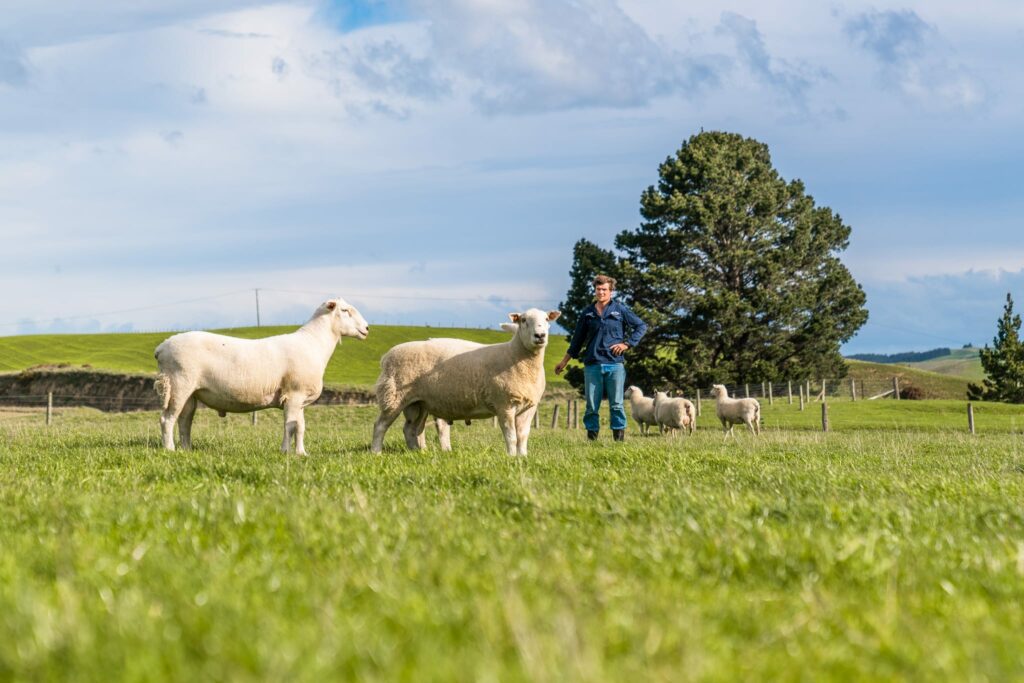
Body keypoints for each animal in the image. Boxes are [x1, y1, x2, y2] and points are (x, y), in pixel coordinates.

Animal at [153, 296, 370, 454]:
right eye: (345, 311)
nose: (367, 328)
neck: (313, 343)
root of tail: (162, 347)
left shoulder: (300, 399)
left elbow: (300, 427)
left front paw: (301, 453)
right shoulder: (294, 394)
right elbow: (289, 426)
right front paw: (285, 452)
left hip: (191, 391)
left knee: (184, 420)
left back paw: (186, 450)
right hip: (179, 384)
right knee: (167, 419)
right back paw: (170, 450)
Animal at [370, 311, 561, 458]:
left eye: (546, 319)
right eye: (523, 320)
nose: (540, 336)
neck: (516, 357)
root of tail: (386, 357)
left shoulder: (529, 407)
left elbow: (523, 436)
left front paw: (522, 457)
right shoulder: (504, 404)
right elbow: (511, 436)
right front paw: (511, 457)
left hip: (419, 403)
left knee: (411, 429)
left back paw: (418, 453)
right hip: (393, 397)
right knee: (380, 426)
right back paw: (376, 453)